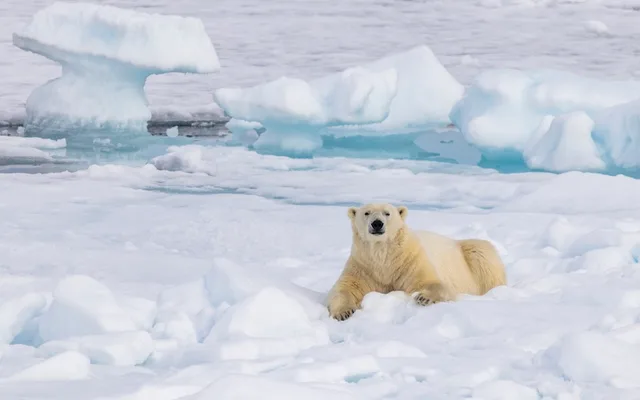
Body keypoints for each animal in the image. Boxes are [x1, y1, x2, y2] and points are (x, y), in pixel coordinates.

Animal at [326, 203, 507, 321]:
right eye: (367, 213)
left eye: (387, 213)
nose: (377, 223)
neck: (384, 258)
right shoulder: (363, 266)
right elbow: (344, 289)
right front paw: (343, 313)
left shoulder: (410, 261)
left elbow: (434, 282)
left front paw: (423, 298)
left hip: (473, 252)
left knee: (482, 253)